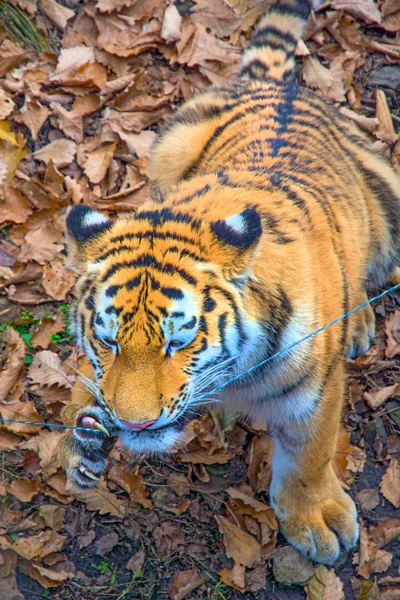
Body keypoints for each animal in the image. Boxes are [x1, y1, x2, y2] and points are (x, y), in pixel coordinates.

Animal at [58, 0, 400, 564]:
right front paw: (76, 436)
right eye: (108, 341)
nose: (134, 424)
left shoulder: (316, 390)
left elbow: (310, 453)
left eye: (179, 342)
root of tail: (274, 84)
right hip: (169, 147)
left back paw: (359, 323)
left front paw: (316, 520)